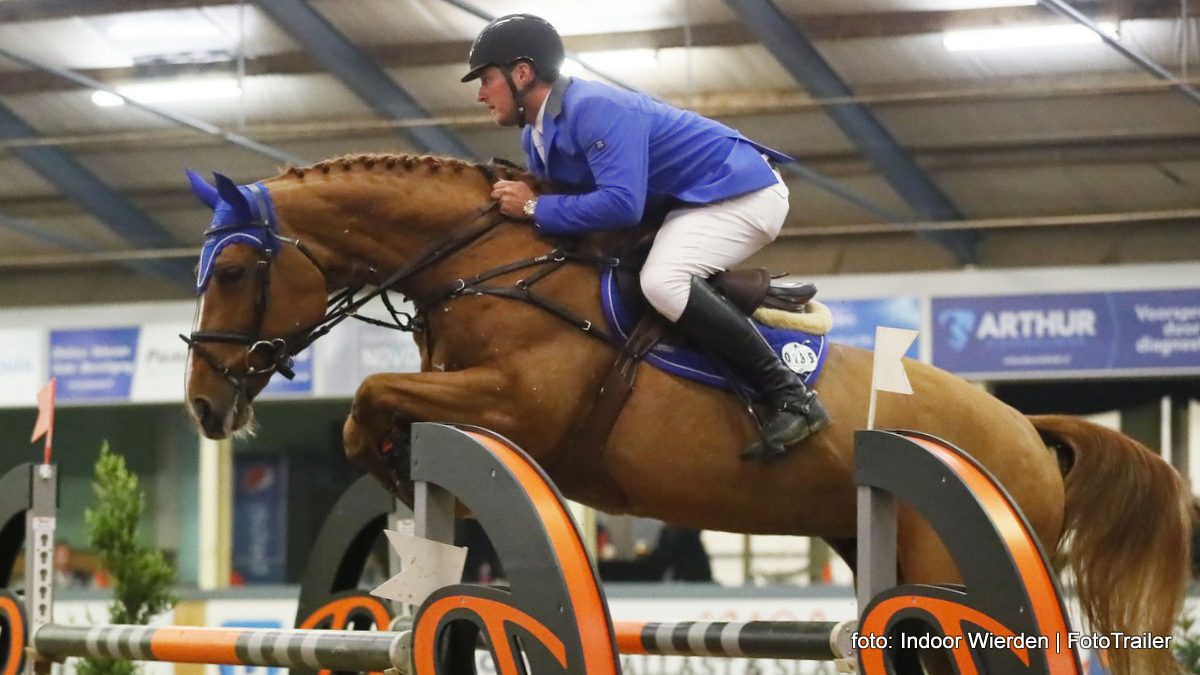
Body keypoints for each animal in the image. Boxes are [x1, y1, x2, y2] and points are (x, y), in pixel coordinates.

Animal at [184, 153, 1190, 672]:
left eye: (231, 270)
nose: (203, 404)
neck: (487, 265)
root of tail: (1027, 430)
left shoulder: (515, 407)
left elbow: (368, 398)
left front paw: (398, 468)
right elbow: (370, 414)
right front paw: (405, 494)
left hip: (957, 556)